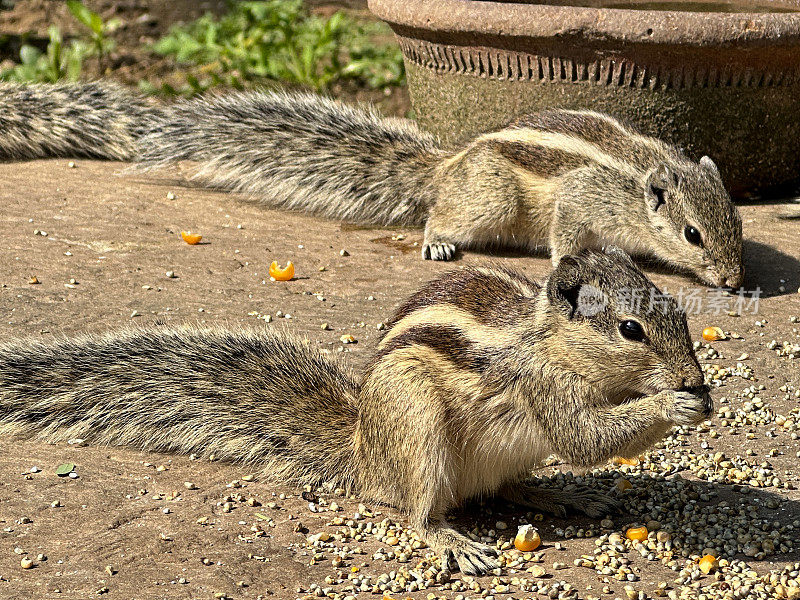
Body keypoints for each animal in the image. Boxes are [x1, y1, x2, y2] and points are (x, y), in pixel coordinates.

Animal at [0, 82, 744, 288]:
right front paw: (576, 261)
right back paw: (438, 241)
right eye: (693, 234)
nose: (737, 282)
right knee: (441, 216)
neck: (641, 177)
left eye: (736, 225)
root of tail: (447, 164)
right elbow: (568, 235)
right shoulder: (580, 196)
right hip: (489, 200)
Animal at [0, 250, 712, 576]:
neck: (546, 337)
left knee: (505, 488)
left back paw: (556, 496)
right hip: (418, 425)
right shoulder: (542, 386)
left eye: (678, 313)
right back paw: (452, 542)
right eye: (630, 329)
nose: (695, 379)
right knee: (418, 510)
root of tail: (364, 452)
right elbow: (588, 438)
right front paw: (674, 403)